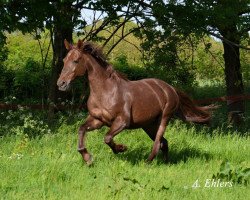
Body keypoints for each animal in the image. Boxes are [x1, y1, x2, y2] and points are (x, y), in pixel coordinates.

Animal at [57, 39, 214, 164]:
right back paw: (166, 162)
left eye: (76, 60)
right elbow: (81, 129)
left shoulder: (122, 121)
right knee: (164, 142)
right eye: (64, 61)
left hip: (163, 119)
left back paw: (147, 162)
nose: (61, 84)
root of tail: (170, 88)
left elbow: (107, 138)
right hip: (148, 125)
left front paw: (121, 148)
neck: (105, 92)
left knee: (158, 143)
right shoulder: (98, 120)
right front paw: (87, 158)